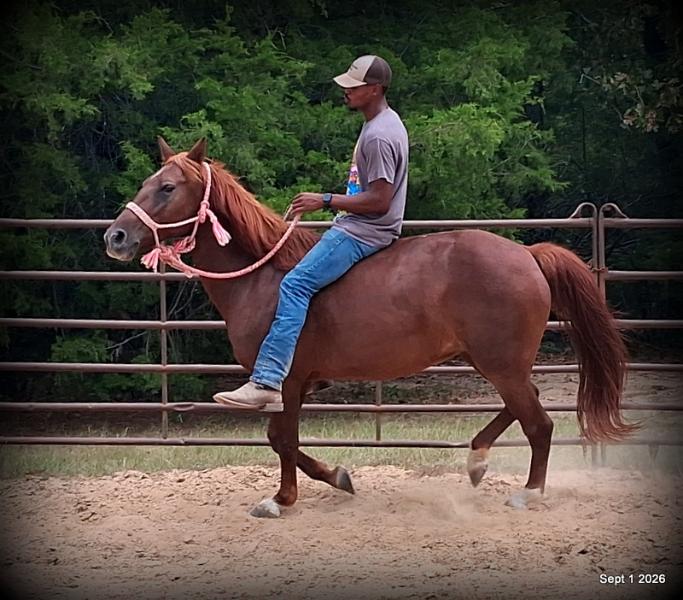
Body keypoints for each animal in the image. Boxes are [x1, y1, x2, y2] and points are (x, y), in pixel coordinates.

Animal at [104, 137, 635, 517]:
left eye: (168, 187)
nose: (116, 236)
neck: (264, 276)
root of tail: (527, 255)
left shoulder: (286, 382)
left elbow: (281, 439)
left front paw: (284, 498)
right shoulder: (298, 385)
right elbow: (283, 440)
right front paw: (334, 478)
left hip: (501, 363)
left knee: (539, 422)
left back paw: (529, 491)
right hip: (495, 362)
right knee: (524, 407)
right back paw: (478, 460)